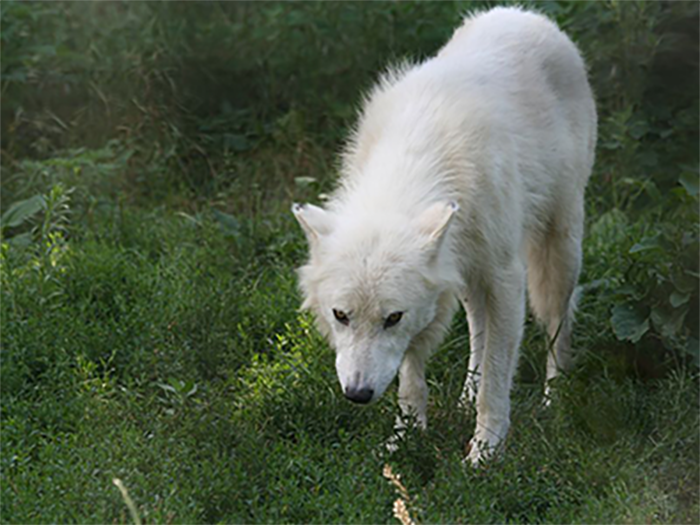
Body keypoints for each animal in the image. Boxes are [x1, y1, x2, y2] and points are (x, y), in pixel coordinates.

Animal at [293, 7, 596, 464]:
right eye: (340, 315)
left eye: (391, 318)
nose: (358, 394)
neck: (414, 161)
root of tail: (525, 13)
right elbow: (411, 377)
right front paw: (404, 437)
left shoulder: (506, 278)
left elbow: (498, 377)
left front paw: (486, 452)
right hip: (468, 275)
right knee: (478, 327)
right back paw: (466, 395)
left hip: (558, 251)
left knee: (557, 322)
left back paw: (554, 399)